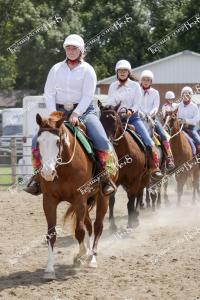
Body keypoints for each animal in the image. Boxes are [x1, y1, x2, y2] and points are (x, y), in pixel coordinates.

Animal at [35, 112, 118, 278]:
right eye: (39, 142)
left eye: (57, 141)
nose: (47, 172)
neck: (64, 168)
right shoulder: (49, 200)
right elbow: (51, 234)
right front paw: (49, 269)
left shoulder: (79, 198)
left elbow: (79, 231)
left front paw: (82, 255)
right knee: (89, 226)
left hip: (102, 198)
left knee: (98, 226)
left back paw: (92, 258)